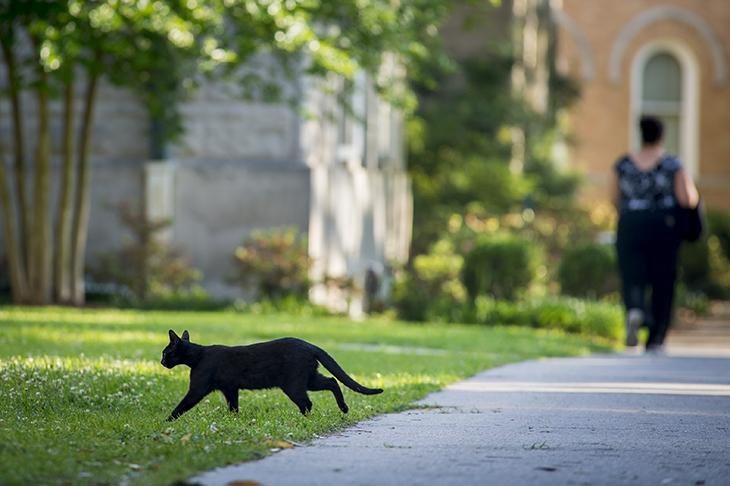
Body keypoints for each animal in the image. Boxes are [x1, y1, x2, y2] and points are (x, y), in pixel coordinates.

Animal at [159, 330, 382, 422]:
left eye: (165, 353)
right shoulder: (230, 389)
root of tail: (310, 345)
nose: (161, 361)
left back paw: (305, 419)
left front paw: (166, 421)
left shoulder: (197, 389)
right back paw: (344, 408)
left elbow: (181, 406)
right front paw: (234, 420)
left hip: (293, 384)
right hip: (309, 379)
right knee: (332, 381)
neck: (198, 356)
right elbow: (233, 406)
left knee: (308, 402)